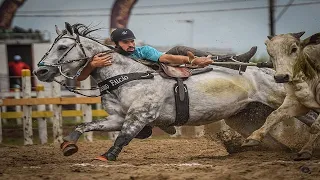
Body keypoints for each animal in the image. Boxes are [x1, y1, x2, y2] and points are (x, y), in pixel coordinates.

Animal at [34, 23, 316, 161]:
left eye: (62, 47)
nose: (40, 71)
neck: (129, 75)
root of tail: (273, 70)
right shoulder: (116, 118)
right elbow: (85, 126)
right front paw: (68, 145)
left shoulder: (139, 116)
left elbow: (123, 137)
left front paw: (107, 156)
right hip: (245, 116)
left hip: (281, 100)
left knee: (311, 119)